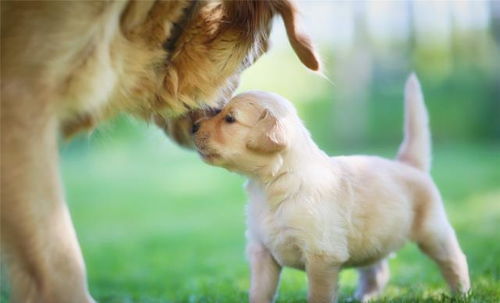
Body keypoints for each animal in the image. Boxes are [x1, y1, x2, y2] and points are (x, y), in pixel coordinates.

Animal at [191, 74, 468, 303]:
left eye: (230, 119)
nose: (193, 126)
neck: (272, 183)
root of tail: (408, 164)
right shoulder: (262, 251)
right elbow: (259, 292)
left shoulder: (322, 256)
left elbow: (318, 295)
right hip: (373, 239)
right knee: (377, 269)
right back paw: (362, 297)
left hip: (433, 230)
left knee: (454, 259)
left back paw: (461, 293)